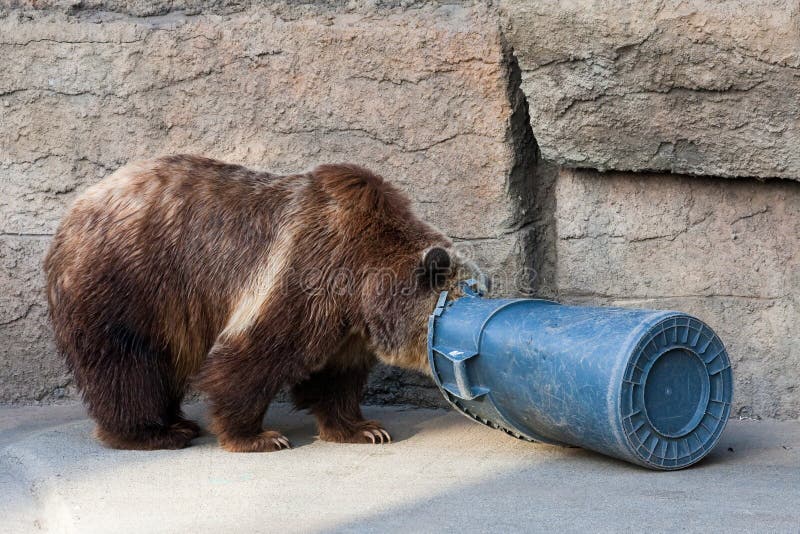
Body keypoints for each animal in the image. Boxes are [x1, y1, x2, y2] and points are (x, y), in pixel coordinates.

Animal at [44, 155, 486, 452]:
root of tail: (70, 216)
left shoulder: (346, 324)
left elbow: (335, 376)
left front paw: (363, 428)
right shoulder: (305, 271)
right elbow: (254, 357)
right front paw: (258, 436)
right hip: (129, 281)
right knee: (128, 362)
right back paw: (155, 432)